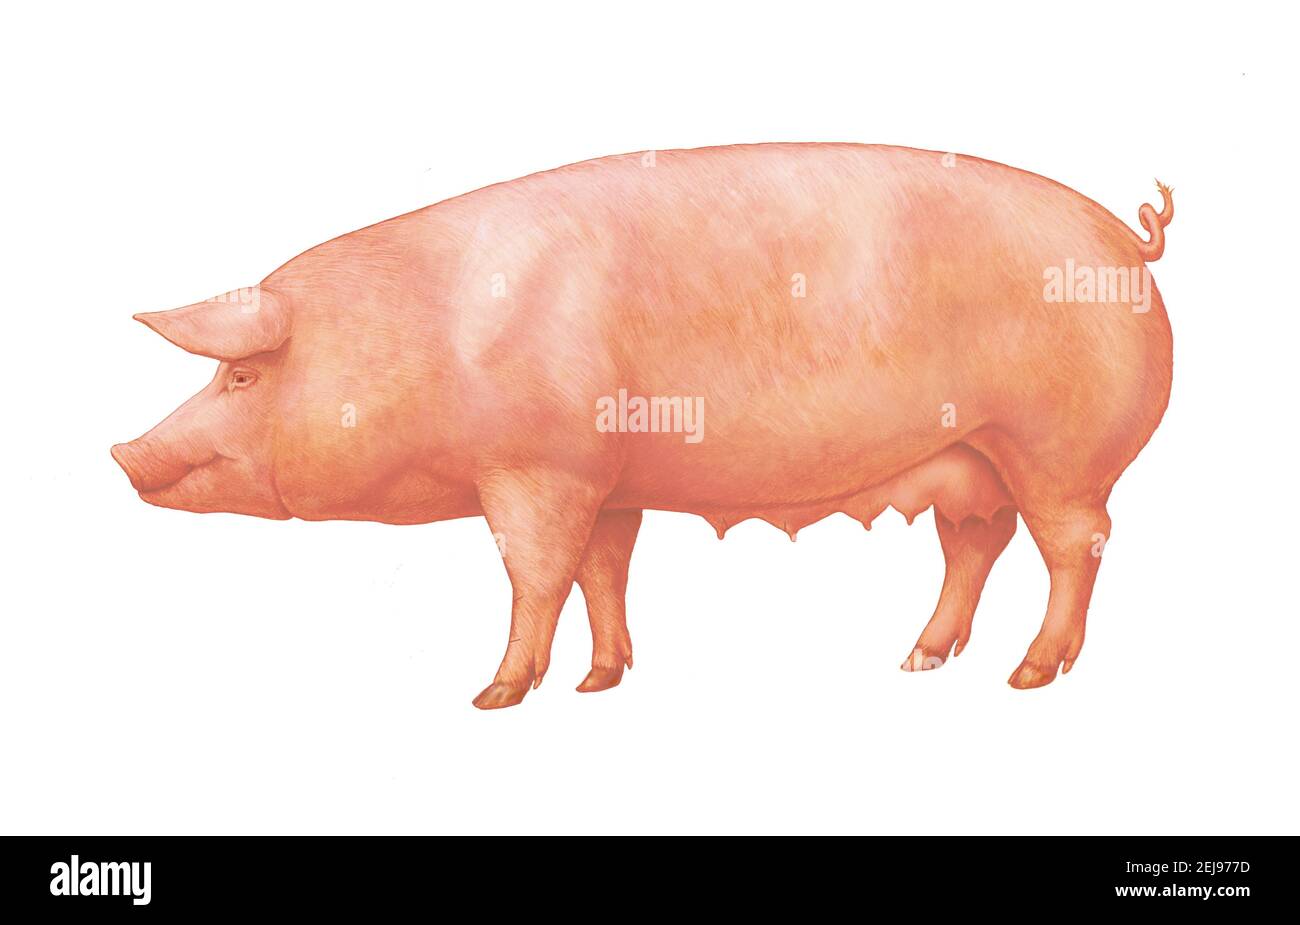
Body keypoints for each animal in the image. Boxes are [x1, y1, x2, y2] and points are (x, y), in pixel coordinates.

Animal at [112, 143, 1175, 709]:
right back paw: (918, 660)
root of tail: (1130, 243)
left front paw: (493, 696)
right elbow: (603, 571)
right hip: (970, 458)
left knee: (1076, 544)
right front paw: (601, 682)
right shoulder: (604, 483)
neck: (433, 336)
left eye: (241, 372)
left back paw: (1029, 677)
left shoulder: (537, 471)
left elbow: (536, 577)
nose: (122, 450)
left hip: (1058, 452)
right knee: (976, 545)